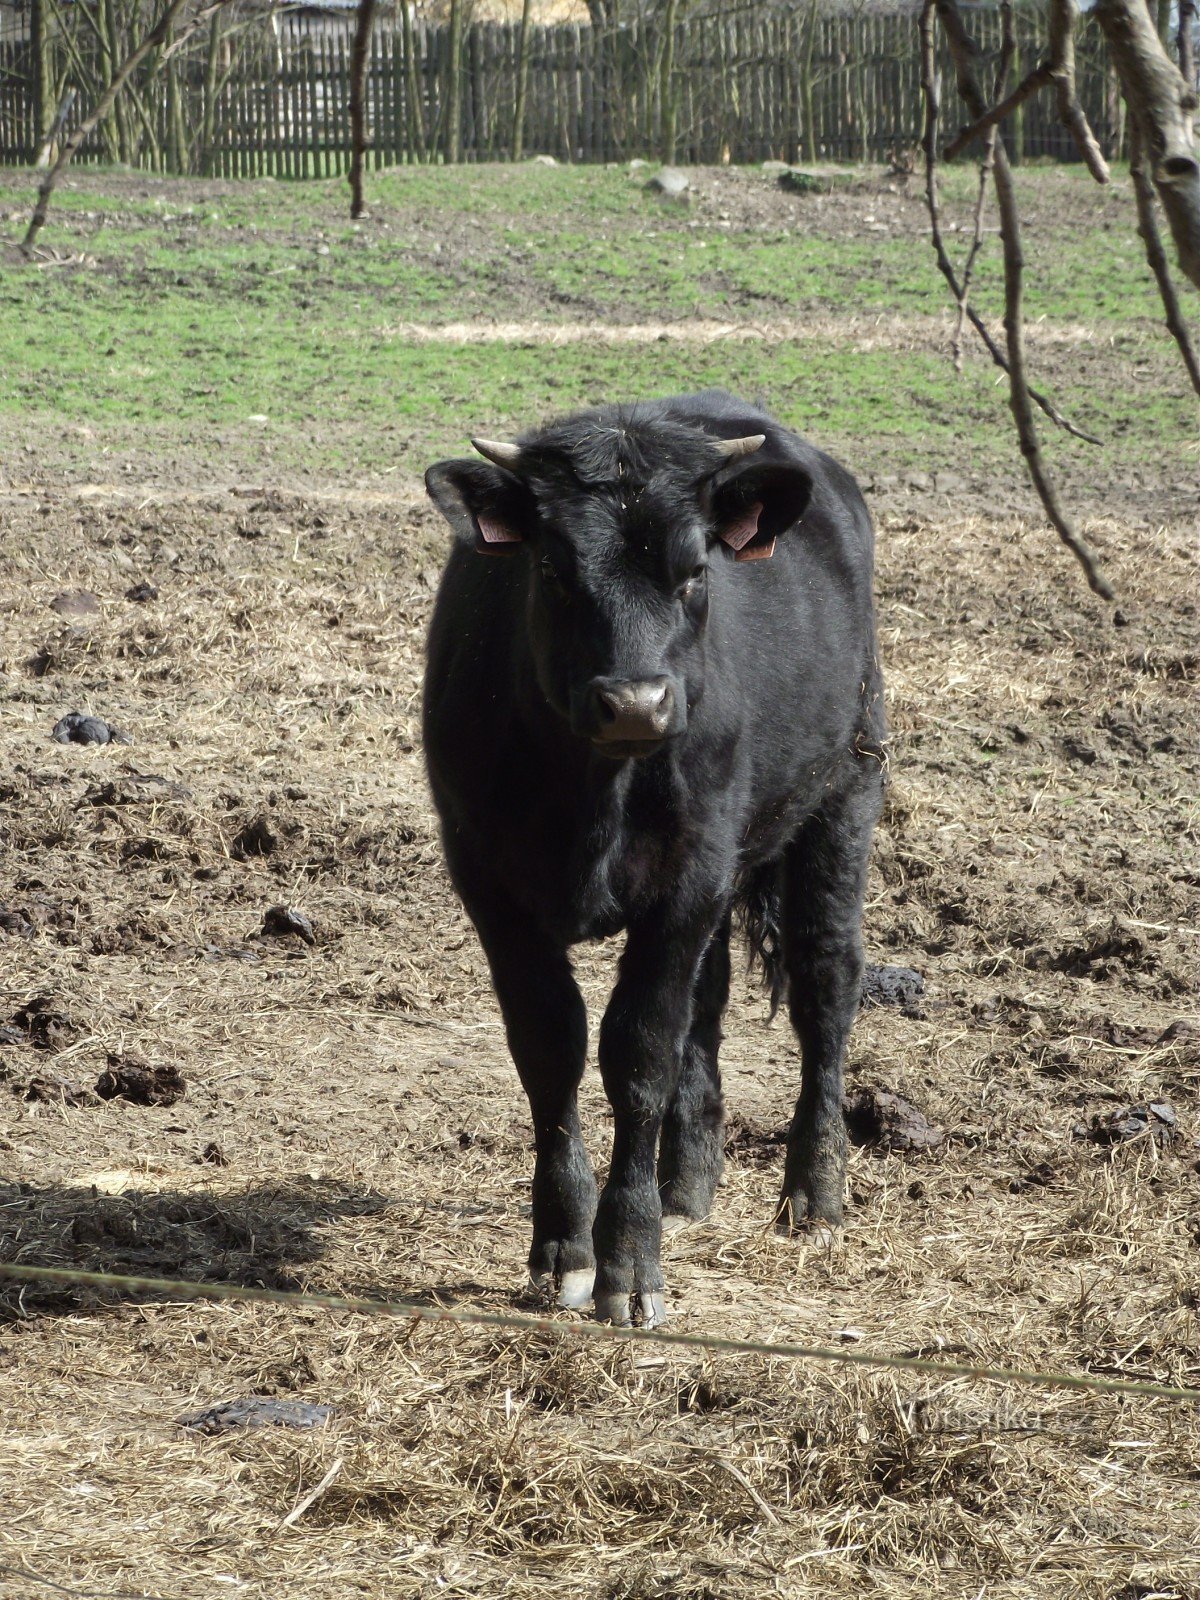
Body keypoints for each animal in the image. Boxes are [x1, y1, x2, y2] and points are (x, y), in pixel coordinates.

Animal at [422, 393, 883, 1331]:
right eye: (553, 569)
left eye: (695, 572)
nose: (635, 702)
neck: (593, 792)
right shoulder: (490, 884)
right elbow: (550, 1049)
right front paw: (563, 1248)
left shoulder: (686, 879)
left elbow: (637, 1056)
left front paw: (629, 1263)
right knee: (707, 1001)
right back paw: (687, 1181)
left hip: (846, 788)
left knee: (826, 982)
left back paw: (815, 1192)